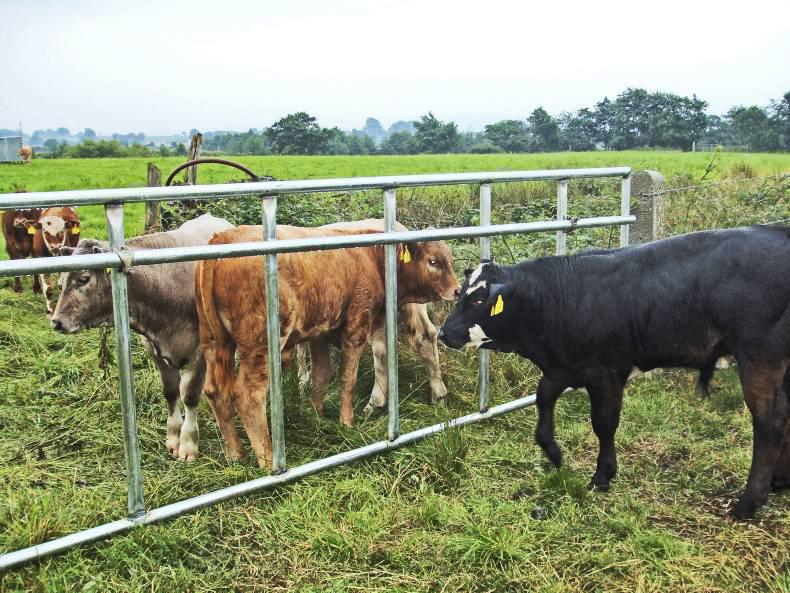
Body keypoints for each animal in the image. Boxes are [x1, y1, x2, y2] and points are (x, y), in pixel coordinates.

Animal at [50, 214, 233, 461]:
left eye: (83, 278)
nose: (56, 322)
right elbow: (171, 390)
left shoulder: (200, 351)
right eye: (60, 284)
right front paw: (173, 437)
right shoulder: (152, 347)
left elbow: (190, 394)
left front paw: (188, 443)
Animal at [295, 219, 449, 413]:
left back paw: (374, 403)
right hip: (409, 304)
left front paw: (301, 382)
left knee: (387, 347)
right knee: (424, 336)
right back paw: (438, 395)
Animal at [438, 225, 790, 519]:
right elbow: (543, 400)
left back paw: (749, 502)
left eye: (479, 298)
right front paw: (554, 454)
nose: (443, 333)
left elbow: (603, 425)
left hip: (758, 358)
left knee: (769, 423)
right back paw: (779, 481)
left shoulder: (605, 374)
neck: (556, 301)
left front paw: (603, 475)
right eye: (460, 294)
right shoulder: (563, 369)